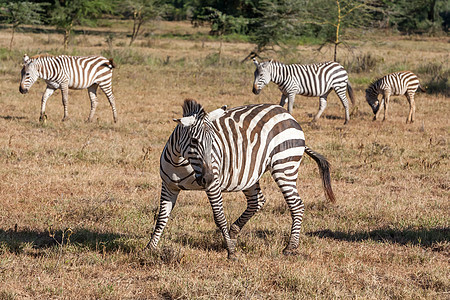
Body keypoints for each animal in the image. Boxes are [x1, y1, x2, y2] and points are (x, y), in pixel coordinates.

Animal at [148, 99, 334, 260]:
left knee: (296, 205)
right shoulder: (169, 186)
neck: (180, 161)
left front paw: (231, 252)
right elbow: (162, 217)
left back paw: (290, 247)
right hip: (250, 175)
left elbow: (219, 217)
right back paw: (233, 233)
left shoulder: (213, 186)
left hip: (284, 166)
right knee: (257, 201)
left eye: (213, 141)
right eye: (194, 141)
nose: (208, 178)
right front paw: (150, 247)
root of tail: (287, 114)